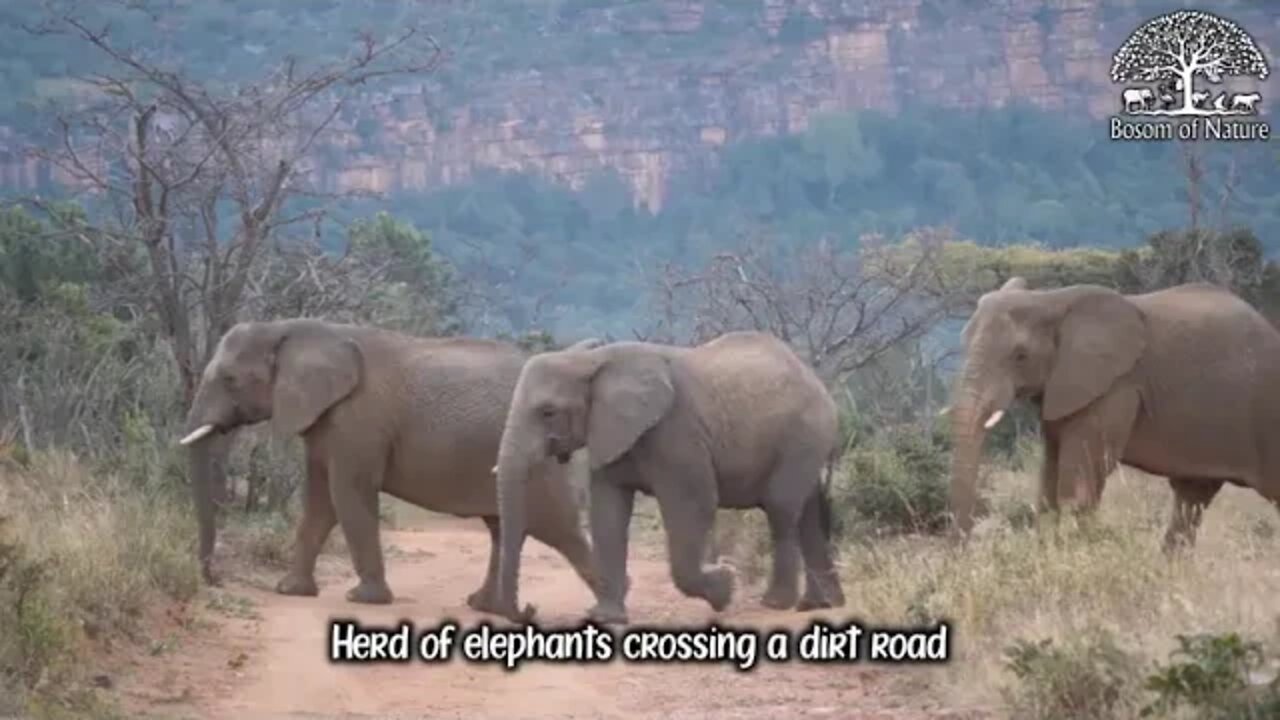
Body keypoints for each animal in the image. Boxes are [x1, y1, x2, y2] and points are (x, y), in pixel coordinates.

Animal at [176, 316, 609, 607]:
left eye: (230, 379)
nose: (213, 577)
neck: (294, 329)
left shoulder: (359, 421)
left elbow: (347, 495)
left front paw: (362, 598)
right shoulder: (325, 421)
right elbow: (319, 503)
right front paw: (290, 590)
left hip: (542, 463)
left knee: (559, 528)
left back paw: (605, 610)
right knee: (505, 528)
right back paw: (484, 607)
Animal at [486, 330, 839, 622]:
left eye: (548, 412)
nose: (530, 609)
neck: (594, 360)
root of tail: (818, 382)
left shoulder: (676, 434)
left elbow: (694, 504)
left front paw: (725, 587)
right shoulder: (610, 432)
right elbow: (607, 513)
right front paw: (605, 617)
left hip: (802, 435)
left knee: (781, 508)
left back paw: (776, 604)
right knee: (808, 514)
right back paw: (818, 605)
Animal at [947, 278, 1280, 545]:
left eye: (1020, 355)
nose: (962, 548)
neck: (1051, 299)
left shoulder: (1116, 387)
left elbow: (1078, 490)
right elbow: (1048, 490)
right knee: (1191, 500)